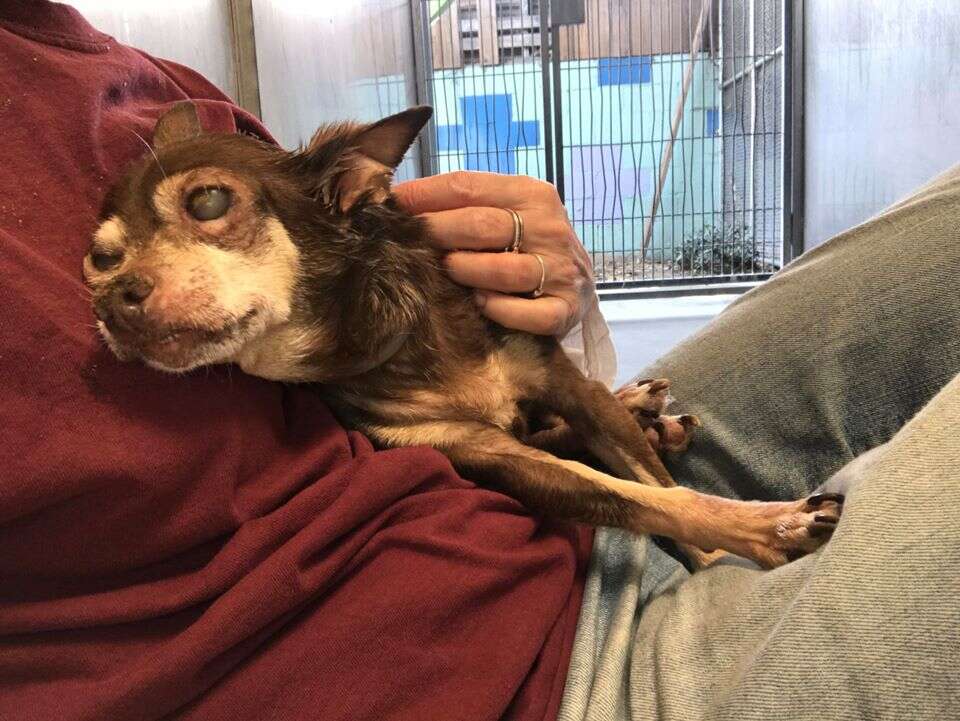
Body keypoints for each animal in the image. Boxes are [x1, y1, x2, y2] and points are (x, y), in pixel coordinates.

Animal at [84, 105, 840, 568]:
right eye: (99, 258)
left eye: (208, 202)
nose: (112, 302)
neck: (393, 339)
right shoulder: (482, 455)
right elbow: (643, 499)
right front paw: (752, 536)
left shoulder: (566, 384)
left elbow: (650, 481)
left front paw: (742, 534)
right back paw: (653, 415)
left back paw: (646, 409)